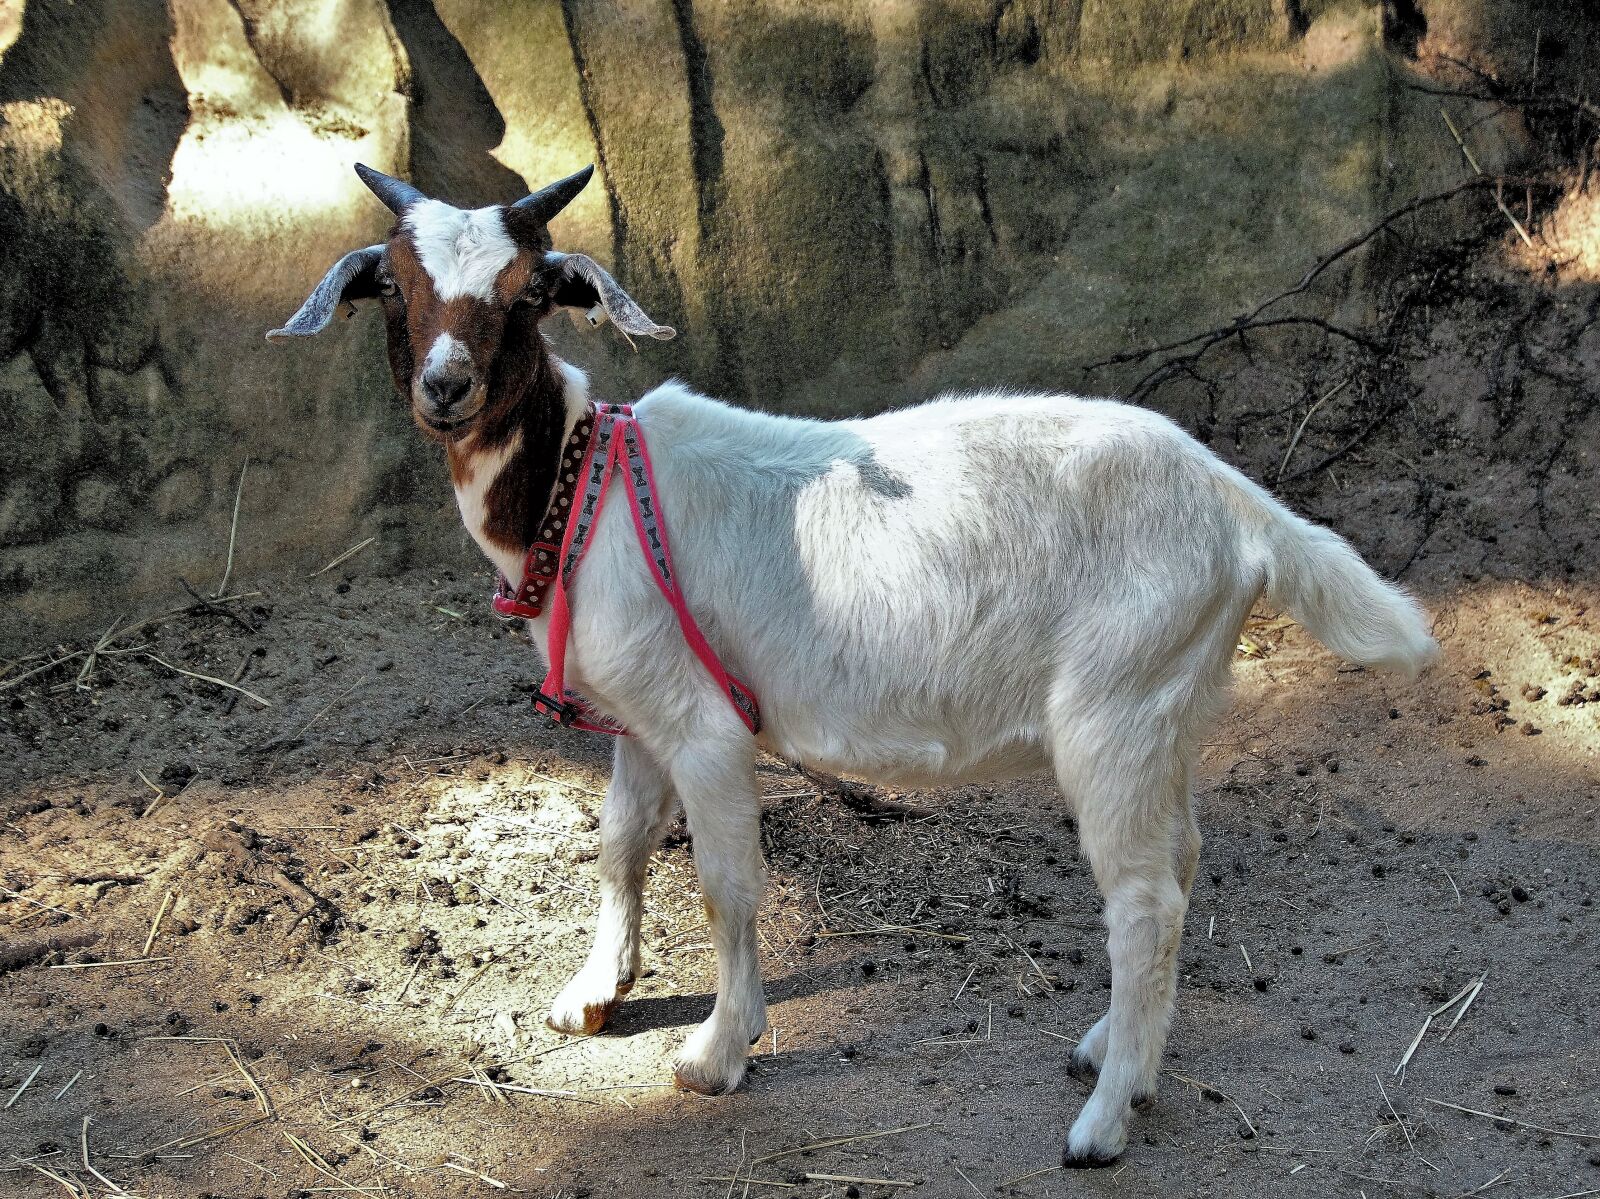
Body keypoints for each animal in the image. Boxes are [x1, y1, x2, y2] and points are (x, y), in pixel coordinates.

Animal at [270, 164, 1438, 1165]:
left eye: (524, 295)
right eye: (397, 285)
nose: (447, 387)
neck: (579, 484)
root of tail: (1238, 505)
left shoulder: (704, 724)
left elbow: (725, 884)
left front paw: (716, 1051)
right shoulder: (641, 712)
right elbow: (619, 846)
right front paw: (594, 991)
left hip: (1115, 709)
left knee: (1143, 901)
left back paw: (1103, 1122)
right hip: (1170, 707)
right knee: (1182, 863)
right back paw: (1118, 1052)